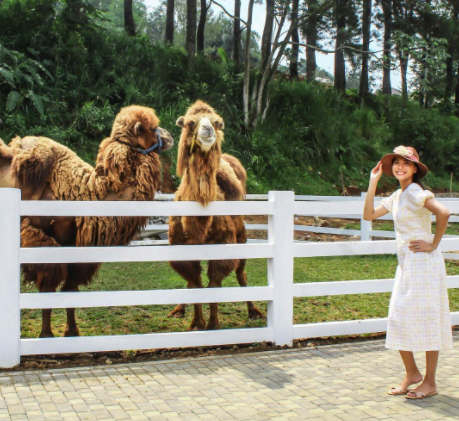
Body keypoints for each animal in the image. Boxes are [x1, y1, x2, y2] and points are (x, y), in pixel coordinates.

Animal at [0, 106, 174, 338]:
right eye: (153, 128)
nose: (170, 136)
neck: (89, 194)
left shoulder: (76, 246)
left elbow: (71, 291)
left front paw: (72, 331)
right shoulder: (42, 241)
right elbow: (47, 290)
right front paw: (46, 334)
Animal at [168, 100, 262, 330]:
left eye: (217, 122)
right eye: (190, 122)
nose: (208, 129)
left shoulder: (224, 244)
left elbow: (213, 285)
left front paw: (212, 324)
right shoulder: (181, 248)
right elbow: (195, 284)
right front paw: (196, 323)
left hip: (241, 235)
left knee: (242, 275)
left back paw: (253, 311)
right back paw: (179, 309)